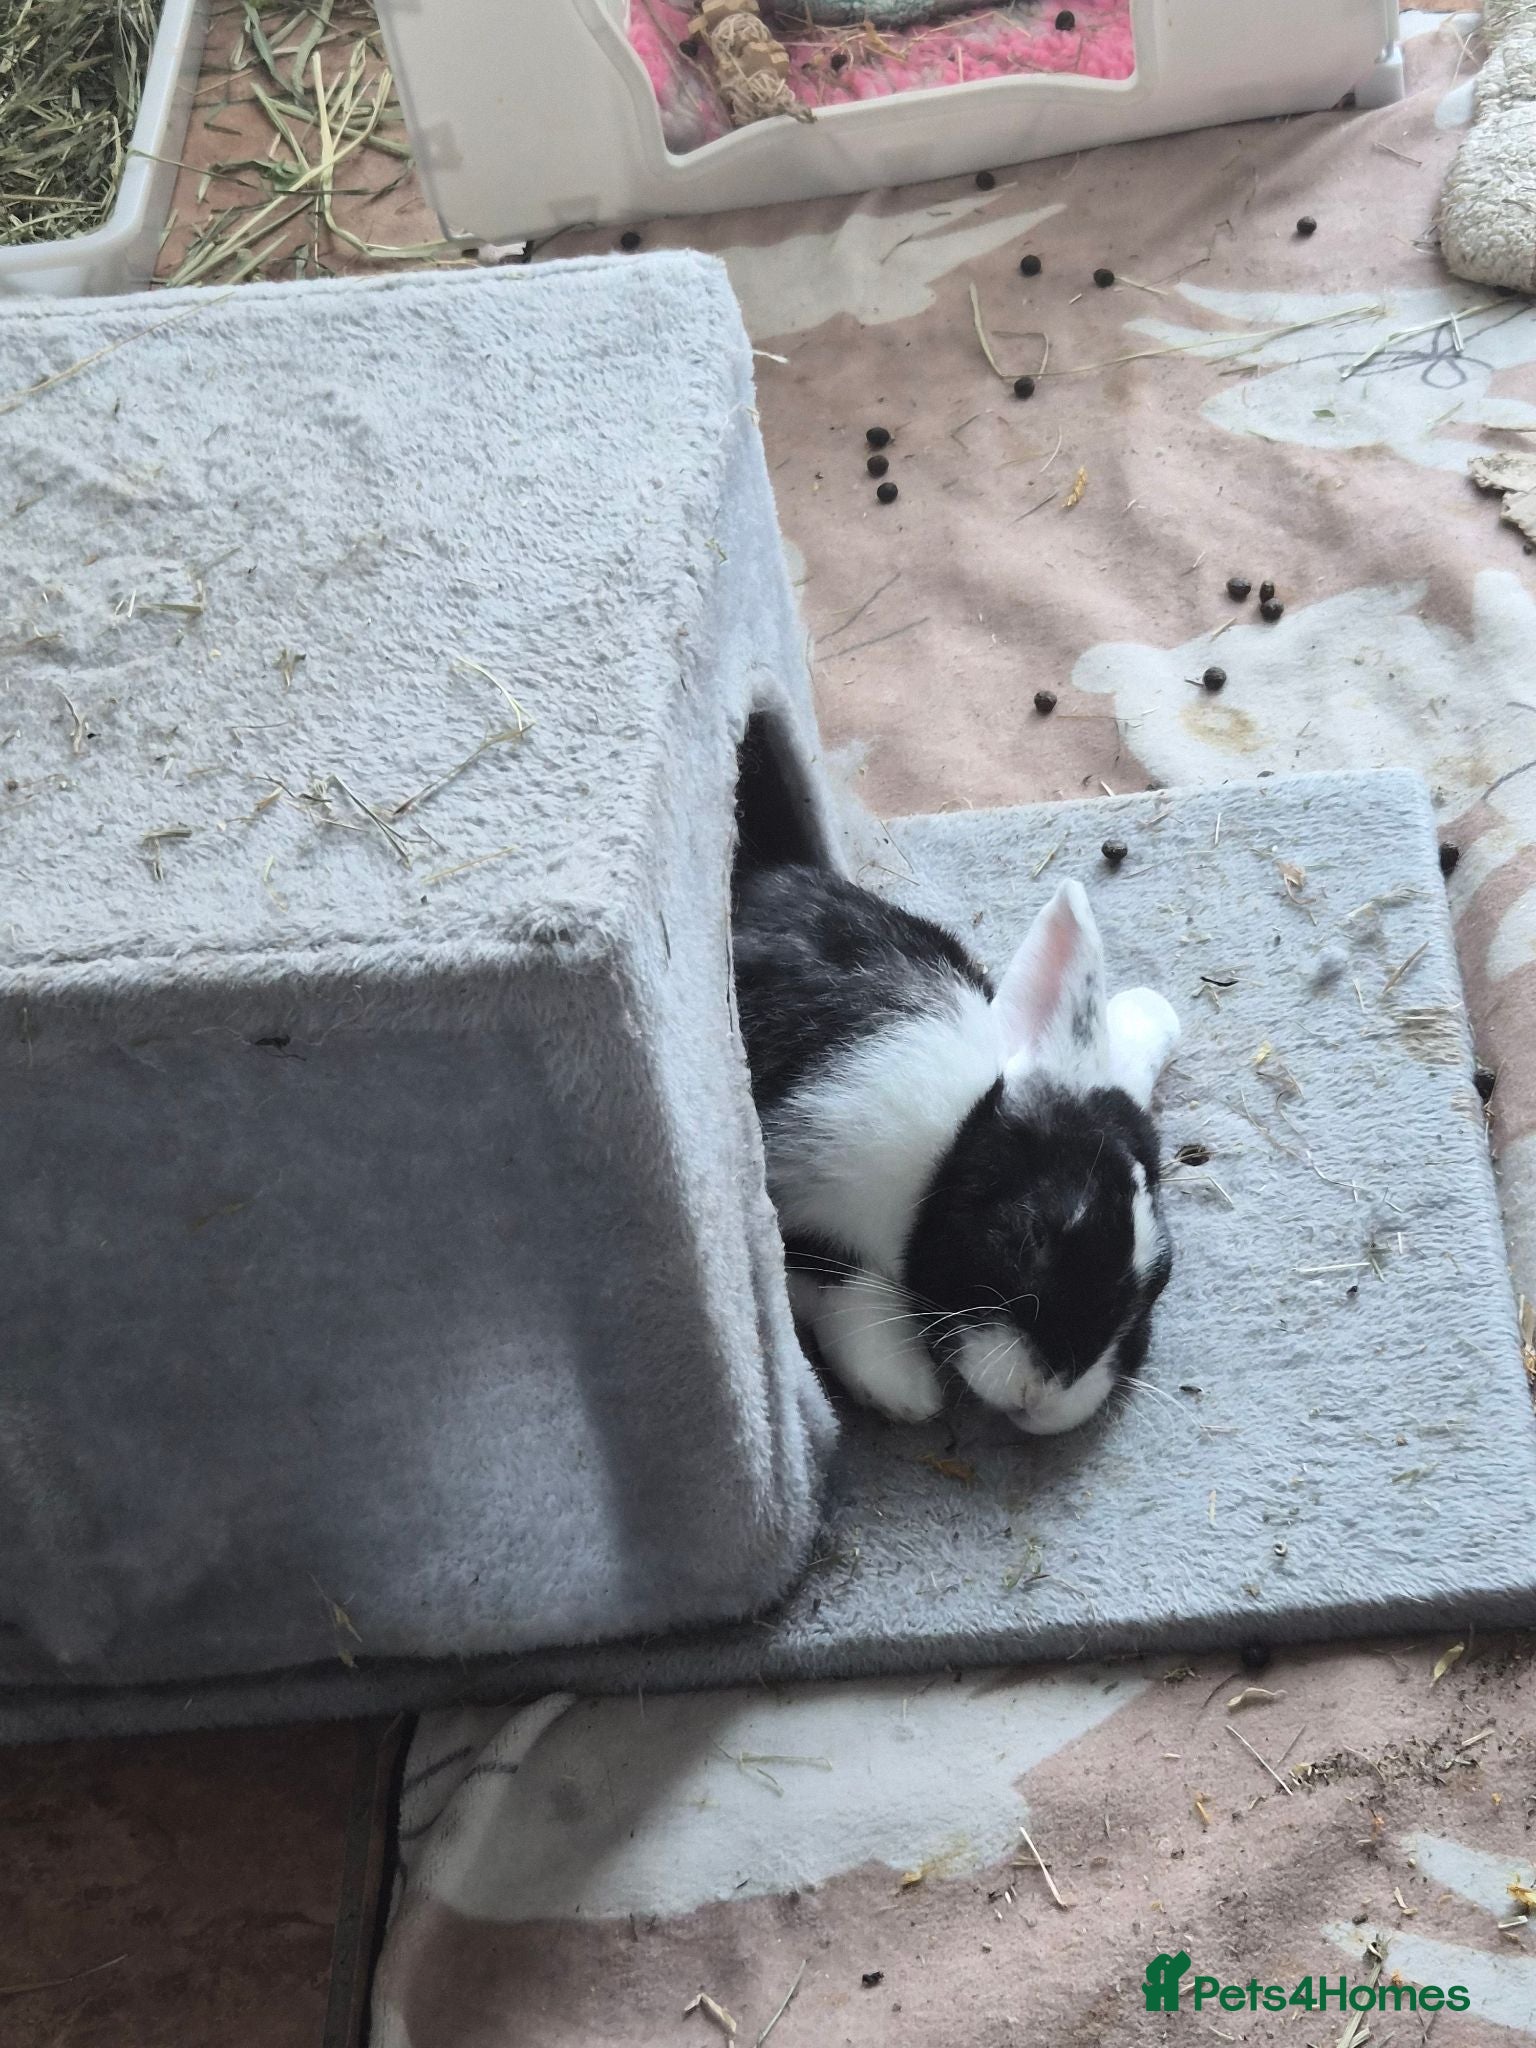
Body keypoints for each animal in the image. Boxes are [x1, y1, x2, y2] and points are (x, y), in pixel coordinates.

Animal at [731, 862, 1181, 1433]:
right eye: (1029, 1235)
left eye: (1158, 1278)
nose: (1044, 1397)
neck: (945, 1148)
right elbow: (840, 1276)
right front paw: (902, 1386)